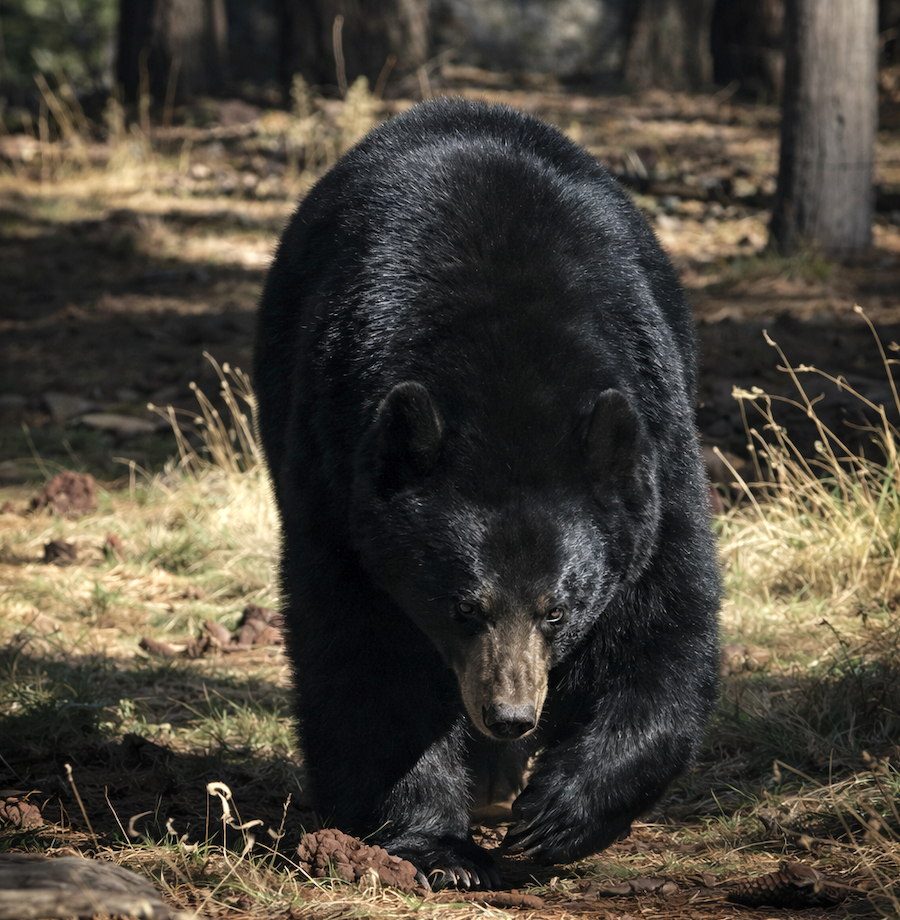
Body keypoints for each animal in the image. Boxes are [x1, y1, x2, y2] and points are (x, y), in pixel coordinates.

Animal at [254, 97, 721, 891]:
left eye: (557, 609)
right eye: (462, 606)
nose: (509, 714)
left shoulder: (652, 459)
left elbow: (662, 623)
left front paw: (557, 811)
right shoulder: (338, 474)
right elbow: (365, 654)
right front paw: (436, 846)